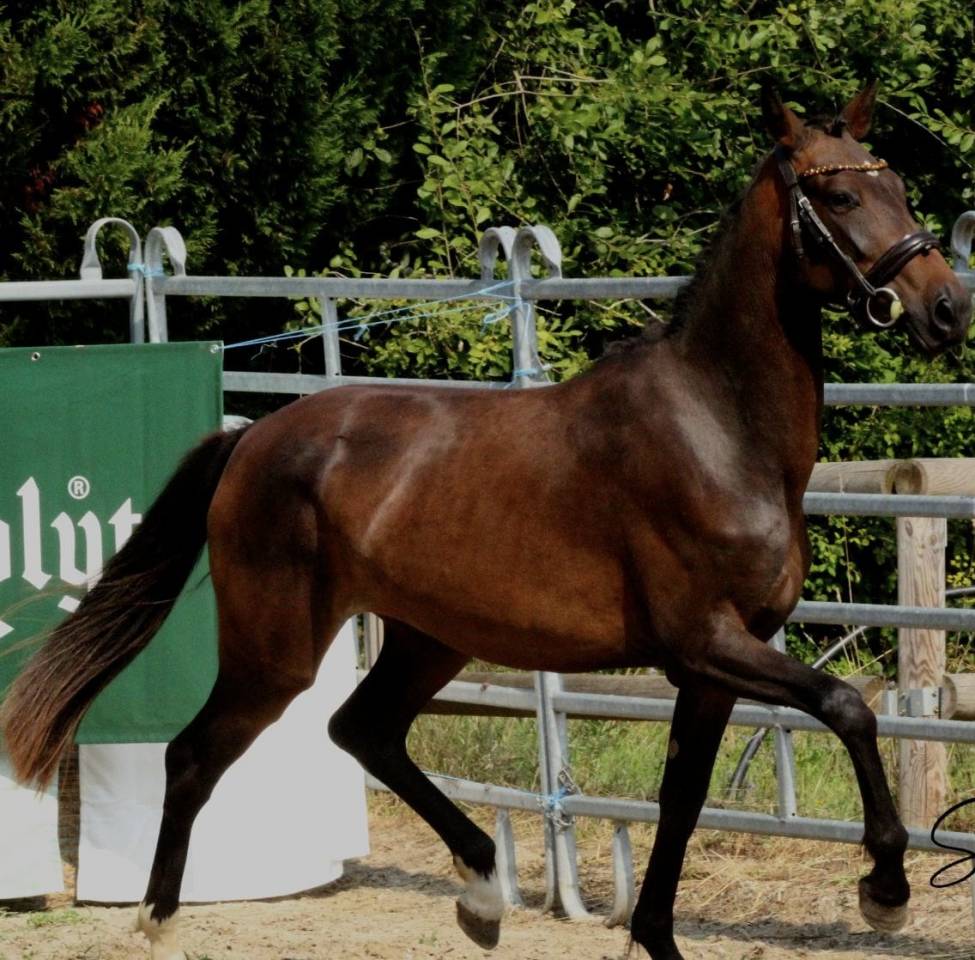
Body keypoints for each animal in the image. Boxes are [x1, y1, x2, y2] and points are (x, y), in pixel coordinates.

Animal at [1, 84, 971, 960]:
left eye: (898, 188)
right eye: (839, 198)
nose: (946, 306)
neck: (717, 425)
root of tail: (252, 439)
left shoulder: (712, 670)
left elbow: (681, 802)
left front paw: (656, 937)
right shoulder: (705, 642)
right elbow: (848, 706)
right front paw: (885, 890)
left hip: (427, 637)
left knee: (360, 729)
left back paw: (481, 892)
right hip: (274, 650)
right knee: (196, 755)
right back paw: (159, 919)